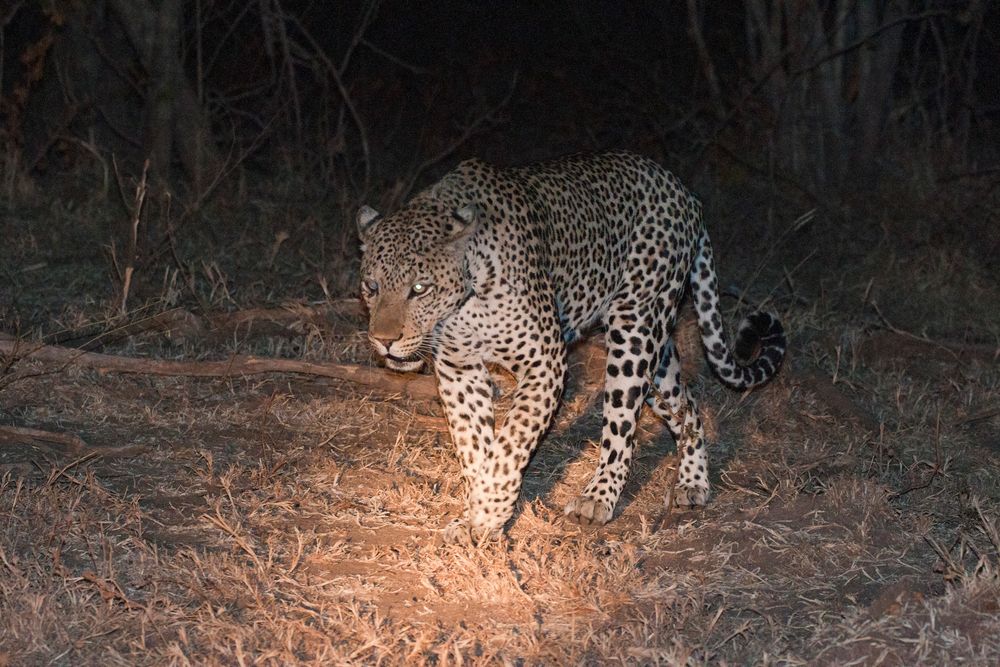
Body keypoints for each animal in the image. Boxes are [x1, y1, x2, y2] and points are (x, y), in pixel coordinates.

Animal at [356, 153, 784, 548]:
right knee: (688, 407)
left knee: (621, 426)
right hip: (657, 353)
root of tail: (684, 190)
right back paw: (693, 482)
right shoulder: (458, 370)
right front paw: (476, 516)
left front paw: (490, 510)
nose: (384, 340)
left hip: (634, 328)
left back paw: (598, 497)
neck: (464, 302)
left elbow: (509, 445)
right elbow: (474, 445)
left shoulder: (545, 362)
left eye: (419, 288)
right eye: (371, 286)